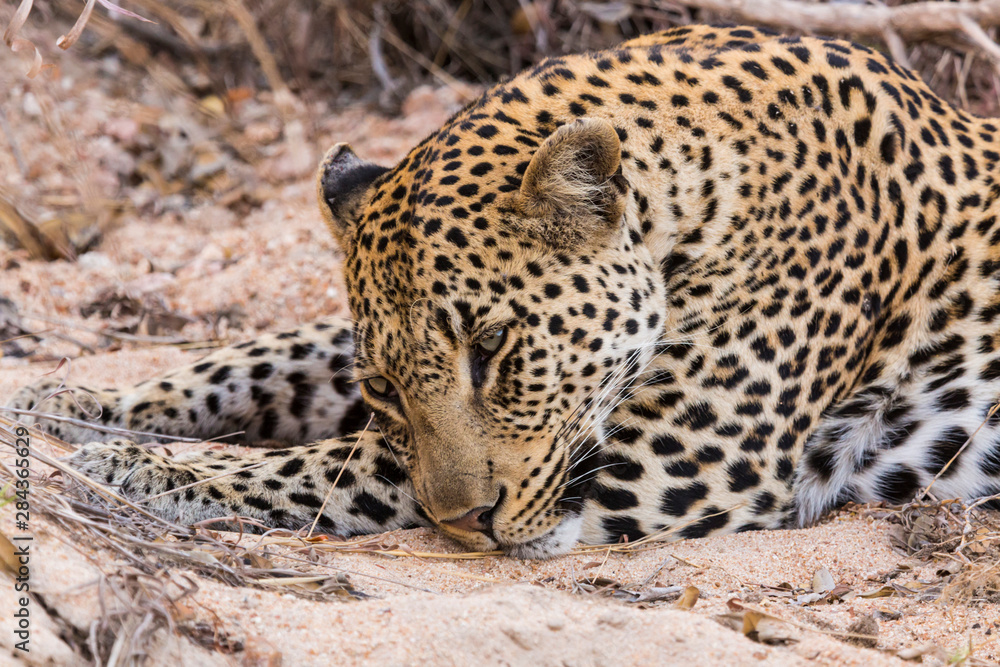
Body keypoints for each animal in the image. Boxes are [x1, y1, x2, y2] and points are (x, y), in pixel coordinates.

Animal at [11, 24, 1000, 558]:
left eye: (495, 348)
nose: (469, 525)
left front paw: (143, 466)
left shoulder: (679, 457)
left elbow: (342, 466)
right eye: (383, 386)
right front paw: (72, 402)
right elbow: (268, 357)